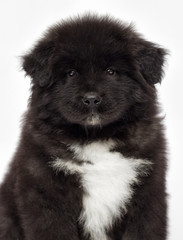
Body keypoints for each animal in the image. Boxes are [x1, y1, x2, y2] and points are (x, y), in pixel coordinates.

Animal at [0, 15, 168, 240]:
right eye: (71, 73)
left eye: (111, 71)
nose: (91, 99)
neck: (95, 137)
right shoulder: (46, 196)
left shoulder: (147, 196)